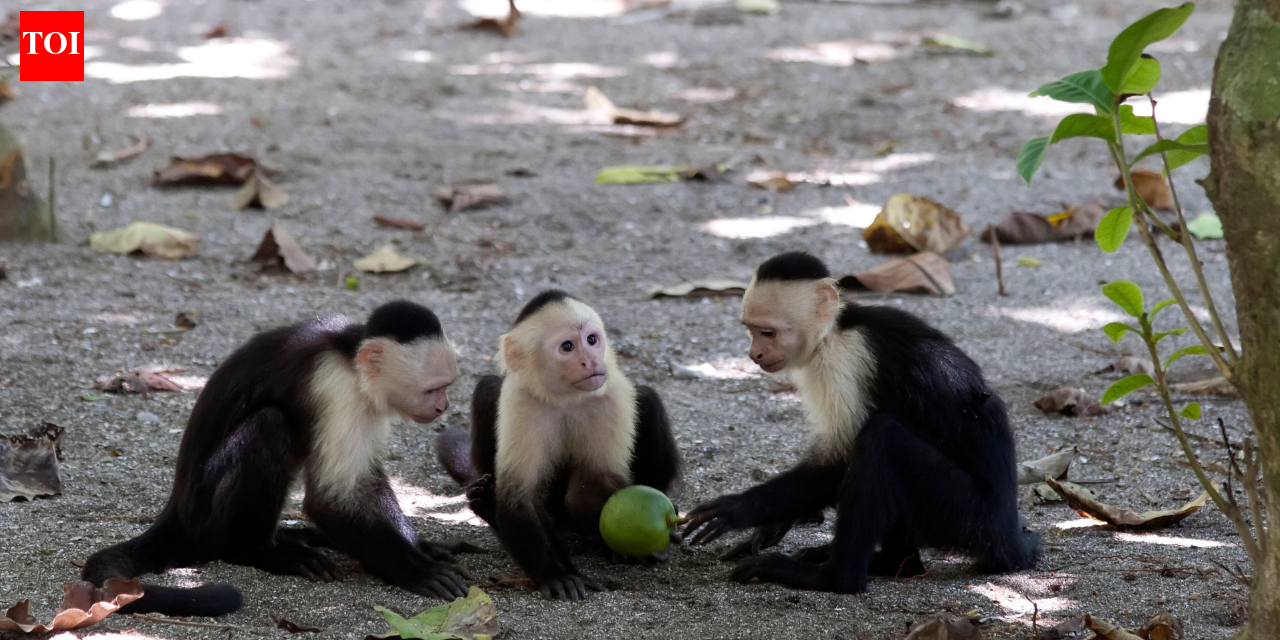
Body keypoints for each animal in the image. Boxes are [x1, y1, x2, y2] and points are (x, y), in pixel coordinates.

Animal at [81, 300, 474, 617]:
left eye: (446, 387)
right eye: (433, 389)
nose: (443, 406)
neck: (348, 357)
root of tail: (176, 510)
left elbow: (364, 482)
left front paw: (422, 547)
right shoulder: (336, 388)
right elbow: (330, 499)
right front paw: (418, 570)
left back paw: (295, 537)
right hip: (204, 517)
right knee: (269, 426)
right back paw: (261, 553)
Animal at [437, 290, 680, 601]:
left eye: (591, 340)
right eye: (567, 347)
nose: (590, 361)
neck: (565, 397)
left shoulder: (611, 398)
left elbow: (590, 490)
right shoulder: (521, 399)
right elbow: (521, 497)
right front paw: (559, 574)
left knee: (648, 400)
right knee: (487, 388)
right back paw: (487, 506)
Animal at [683, 252, 1038, 594]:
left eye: (767, 332)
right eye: (751, 329)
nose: (753, 354)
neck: (835, 329)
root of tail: (1008, 538)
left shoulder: (842, 360)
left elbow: (838, 462)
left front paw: (740, 509)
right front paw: (772, 524)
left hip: (967, 515)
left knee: (884, 436)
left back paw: (834, 577)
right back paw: (891, 563)